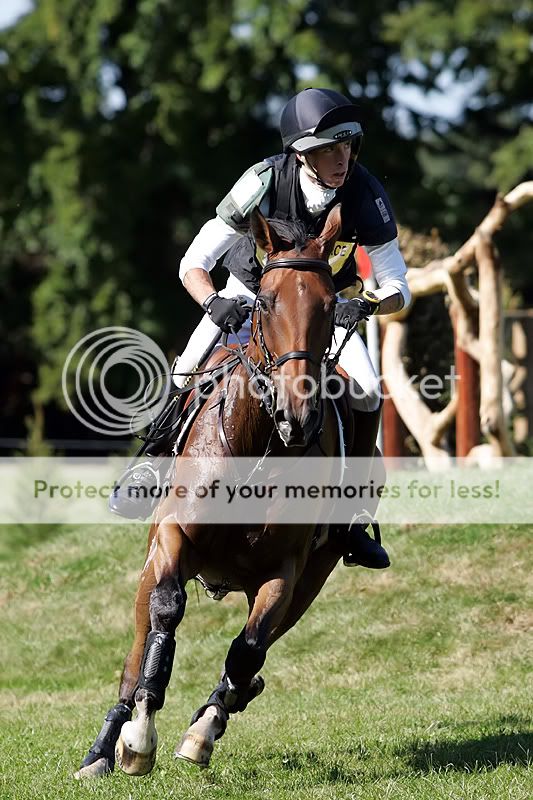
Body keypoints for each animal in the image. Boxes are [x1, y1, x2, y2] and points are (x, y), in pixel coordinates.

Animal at [76, 203, 366, 780]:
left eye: (330, 307)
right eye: (268, 301)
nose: (297, 418)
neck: (256, 446)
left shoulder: (286, 575)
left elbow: (247, 650)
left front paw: (202, 731)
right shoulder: (172, 537)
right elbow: (166, 613)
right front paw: (140, 736)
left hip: (309, 583)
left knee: (251, 657)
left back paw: (220, 706)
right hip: (152, 562)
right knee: (137, 644)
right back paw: (103, 749)